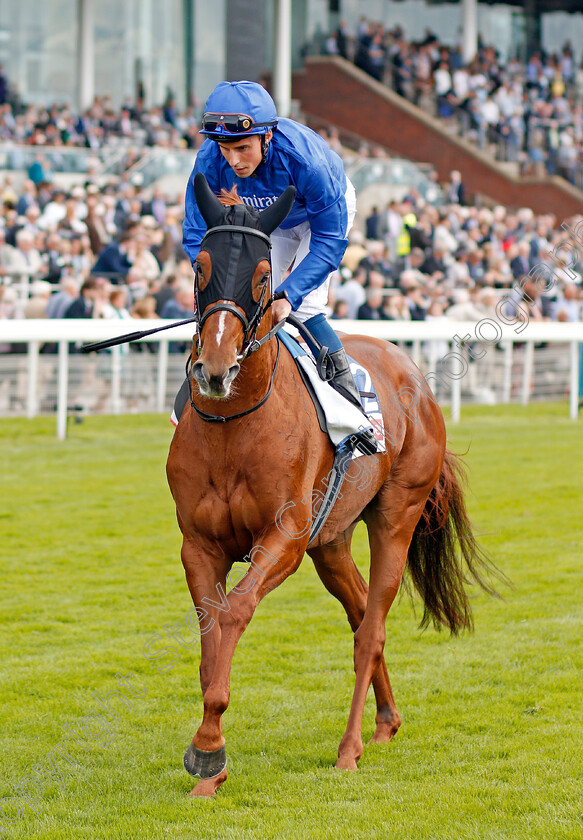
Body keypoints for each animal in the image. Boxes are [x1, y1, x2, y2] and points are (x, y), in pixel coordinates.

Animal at [165, 176, 498, 796]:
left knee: (372, 629)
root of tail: (412, 373)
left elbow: (233, 614)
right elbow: (209, 634)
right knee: (362, 612)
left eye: (263, 277)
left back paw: (350, 749)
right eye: (199, 267)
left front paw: (207, 749)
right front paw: (210, 757)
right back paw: (386, 722)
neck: (233, 425)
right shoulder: (198, 545)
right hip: (333, 542)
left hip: (395, 516)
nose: (215, 370)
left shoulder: (285, 540)